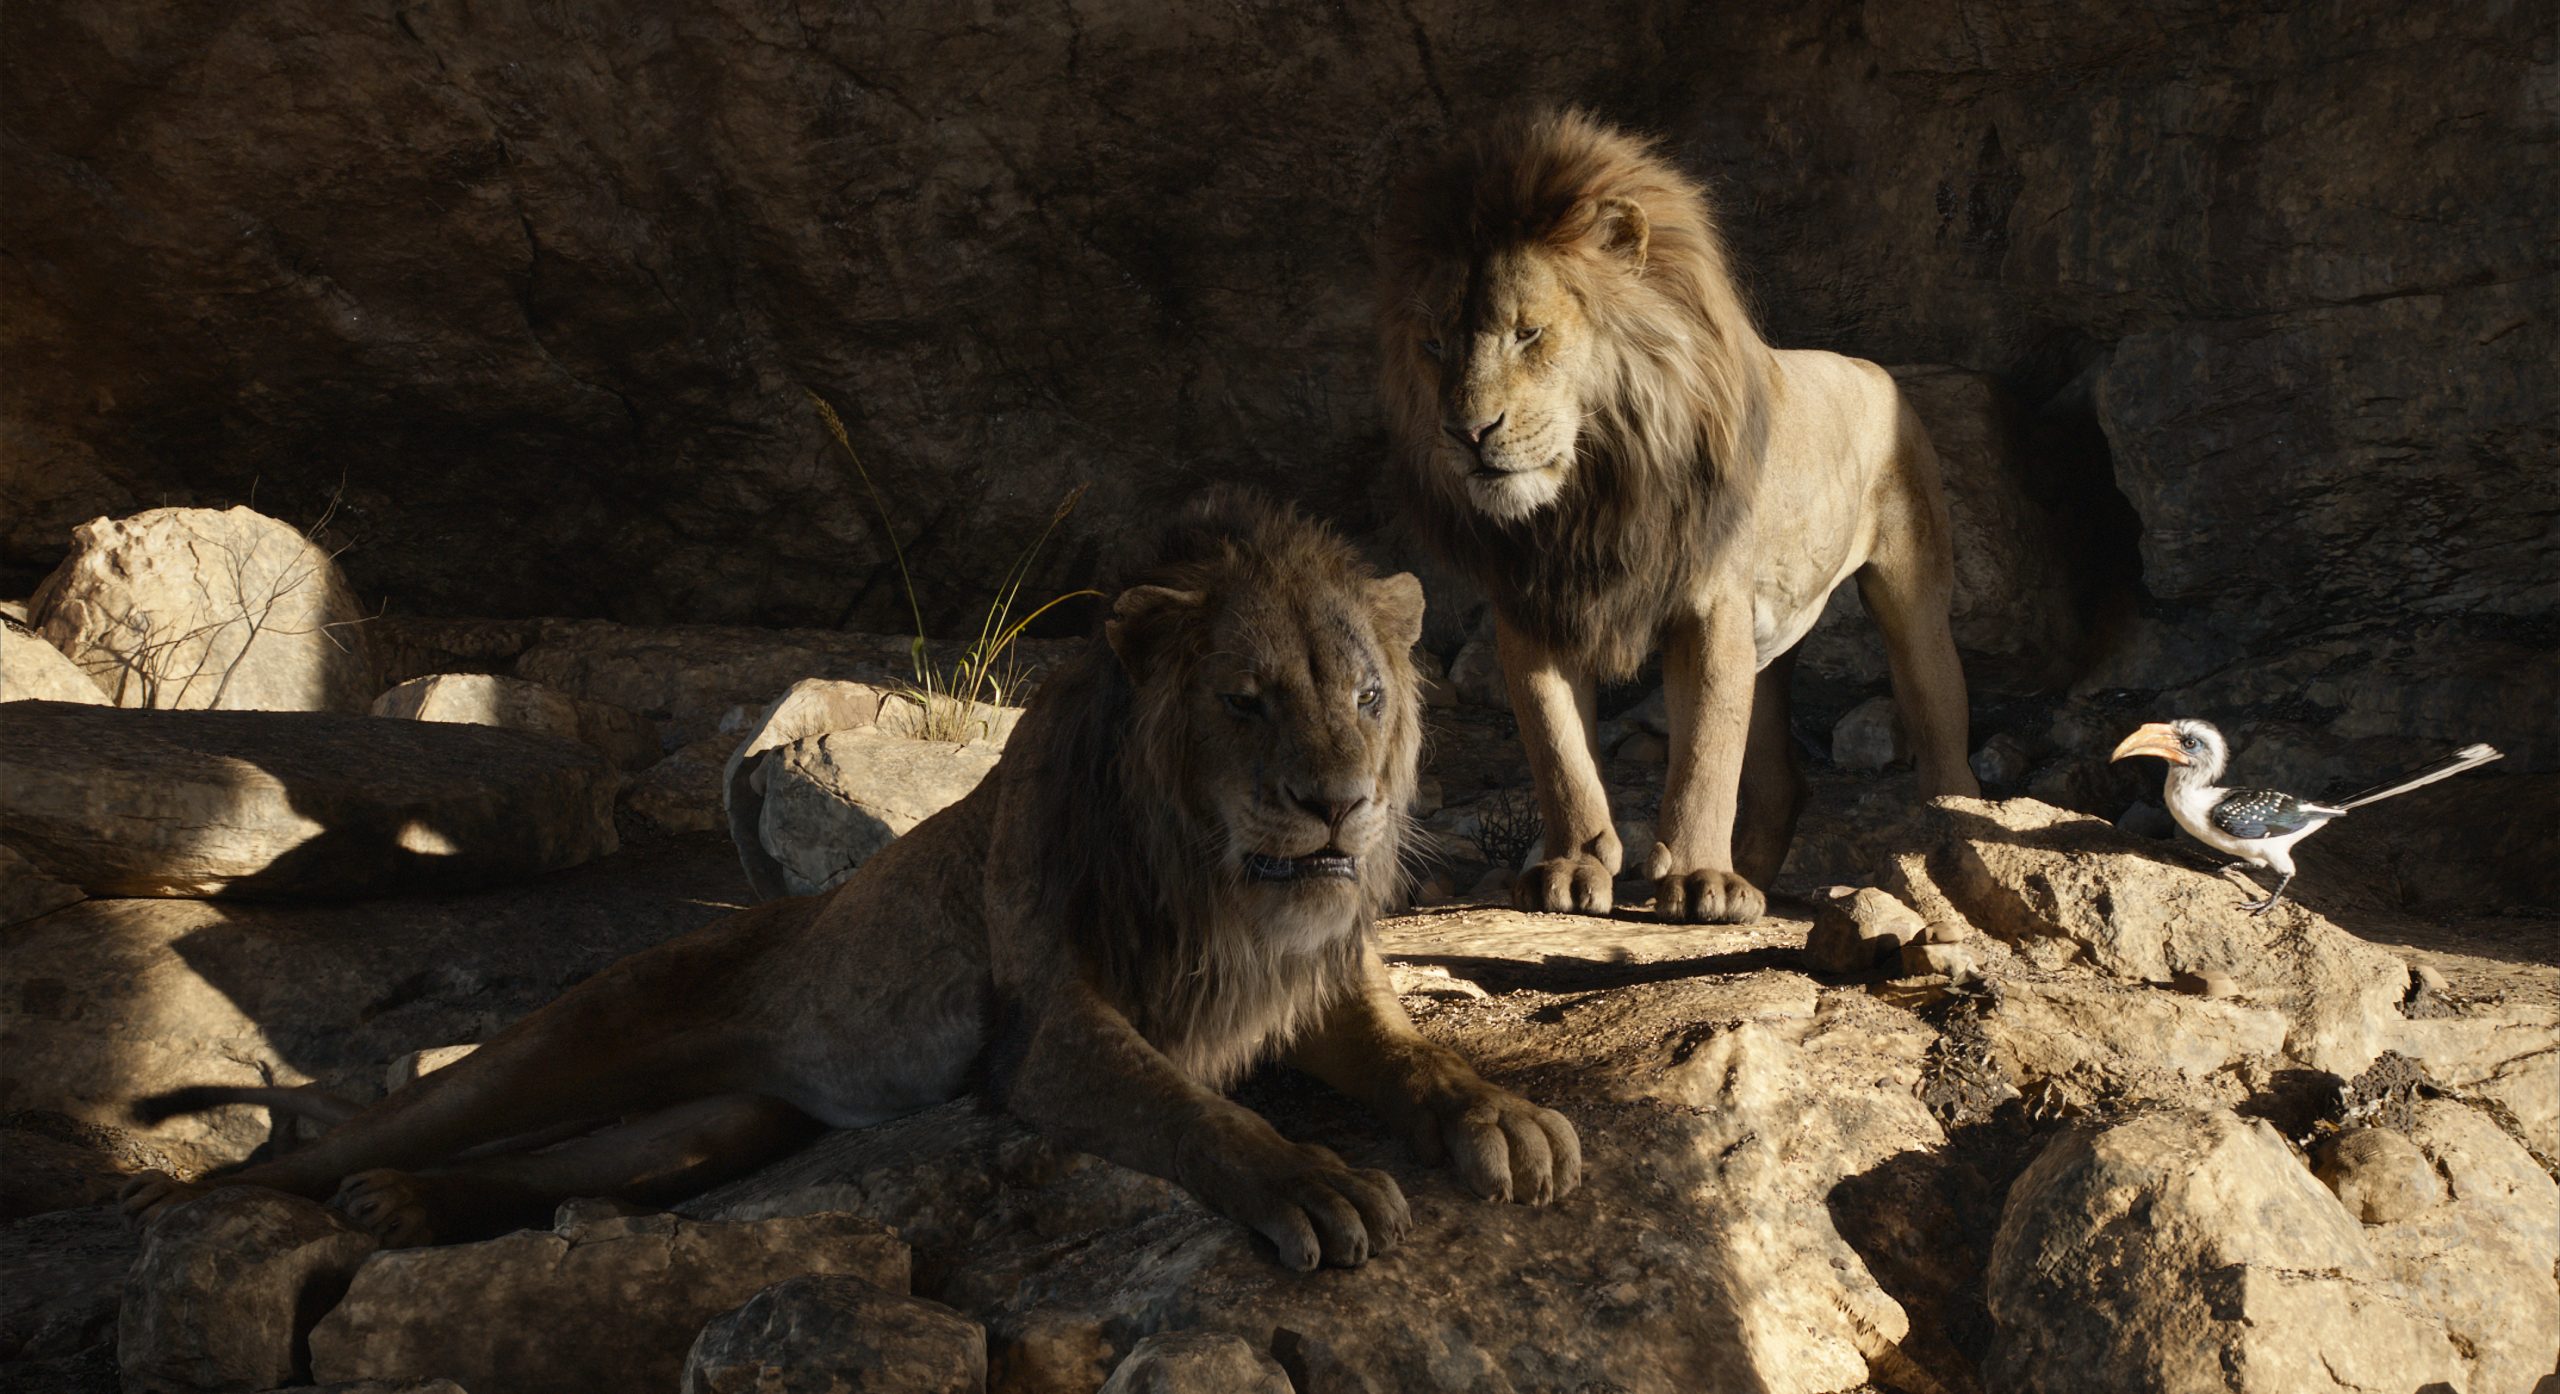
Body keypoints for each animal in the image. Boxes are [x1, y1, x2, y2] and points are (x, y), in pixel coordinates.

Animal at [121, 495, 1579, 1271]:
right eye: (1246, 699)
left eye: (1369, 698)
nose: (1338, 801)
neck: (1225, 881)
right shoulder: (1046, 1029)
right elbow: (1186, 1110)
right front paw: (1310, 1181)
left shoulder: (1311, 977)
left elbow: (1414, 1055)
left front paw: (1505, 1115)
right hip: (569, 1035)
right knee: (394, 1124)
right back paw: (208, 1200)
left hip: (716, 1122)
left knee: (562, 1167)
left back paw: (409, 1208)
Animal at [1377, 109, 1979, 924]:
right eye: (1434, 344)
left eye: (1529, 332)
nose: (1467, 433)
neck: (1593, 493)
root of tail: (1873, 367)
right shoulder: (1532, 605)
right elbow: (1558, 749)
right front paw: (1571, 868)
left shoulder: (1711, 606)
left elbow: (1703, 756)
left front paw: (1701, 882)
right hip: (1770, 642)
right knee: (1781, 780)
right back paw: (1754, 875)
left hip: (1912, 600)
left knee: (1942, 735)